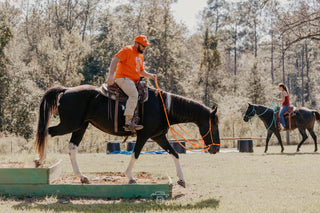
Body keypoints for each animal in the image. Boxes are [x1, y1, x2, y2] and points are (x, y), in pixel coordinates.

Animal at [35, 84, 220, 187]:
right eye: (214, 126)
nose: (216, 149)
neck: (163, 107)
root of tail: (66, 90)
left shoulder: (158, 136)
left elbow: (174, 153)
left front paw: (181, 179)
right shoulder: (144, 136)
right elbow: (135, 154)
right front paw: (130, 177)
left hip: (80, 127)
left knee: (72, 148)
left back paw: (82, 177)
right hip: (70, 125)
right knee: (47, 132)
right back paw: (40, 159)